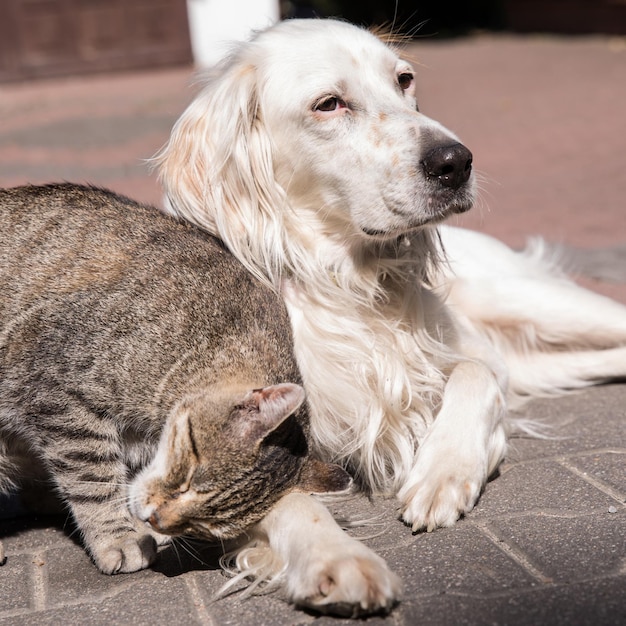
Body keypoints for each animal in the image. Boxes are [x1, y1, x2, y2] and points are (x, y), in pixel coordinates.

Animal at [0, 183, 348, 572]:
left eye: (204, 526)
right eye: (189, 480)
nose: (156, 519)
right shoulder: (55, 388)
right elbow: (92, 478)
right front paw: (118, 535)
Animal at [155, 19, 624, 616]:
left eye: (404, 80)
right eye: (329, 104)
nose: (455, 162)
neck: (346, 286)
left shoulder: (480, 362)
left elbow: (474, 375)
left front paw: (444, 471)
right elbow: (287, 504)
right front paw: (337, 560)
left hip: (534, 303)